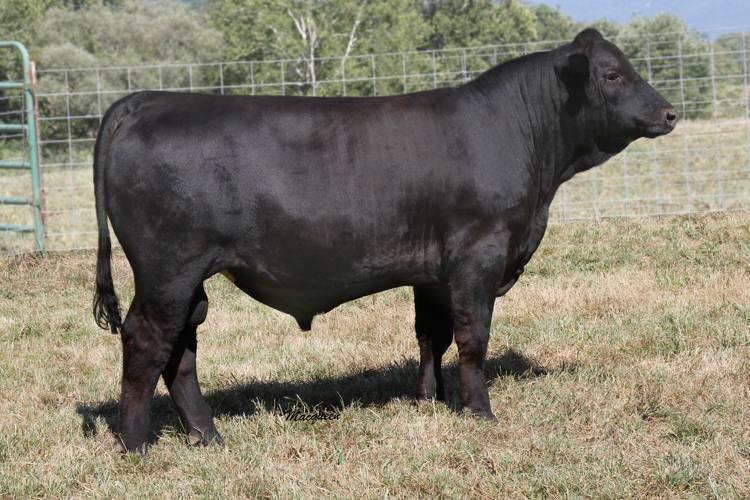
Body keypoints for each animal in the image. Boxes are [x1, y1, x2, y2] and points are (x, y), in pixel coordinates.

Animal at [92, 28, 677, 453]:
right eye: (613, 74)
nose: (670, 112)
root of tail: (146, 100)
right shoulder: (479, 256)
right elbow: (473, 338)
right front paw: (480, 412)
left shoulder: (434, 272)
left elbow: (431, 336)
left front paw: (428, 402)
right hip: (169, 268)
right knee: (147, 339)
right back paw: (136, 443)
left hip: (187, 277)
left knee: (181, 348)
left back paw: (208, 436)